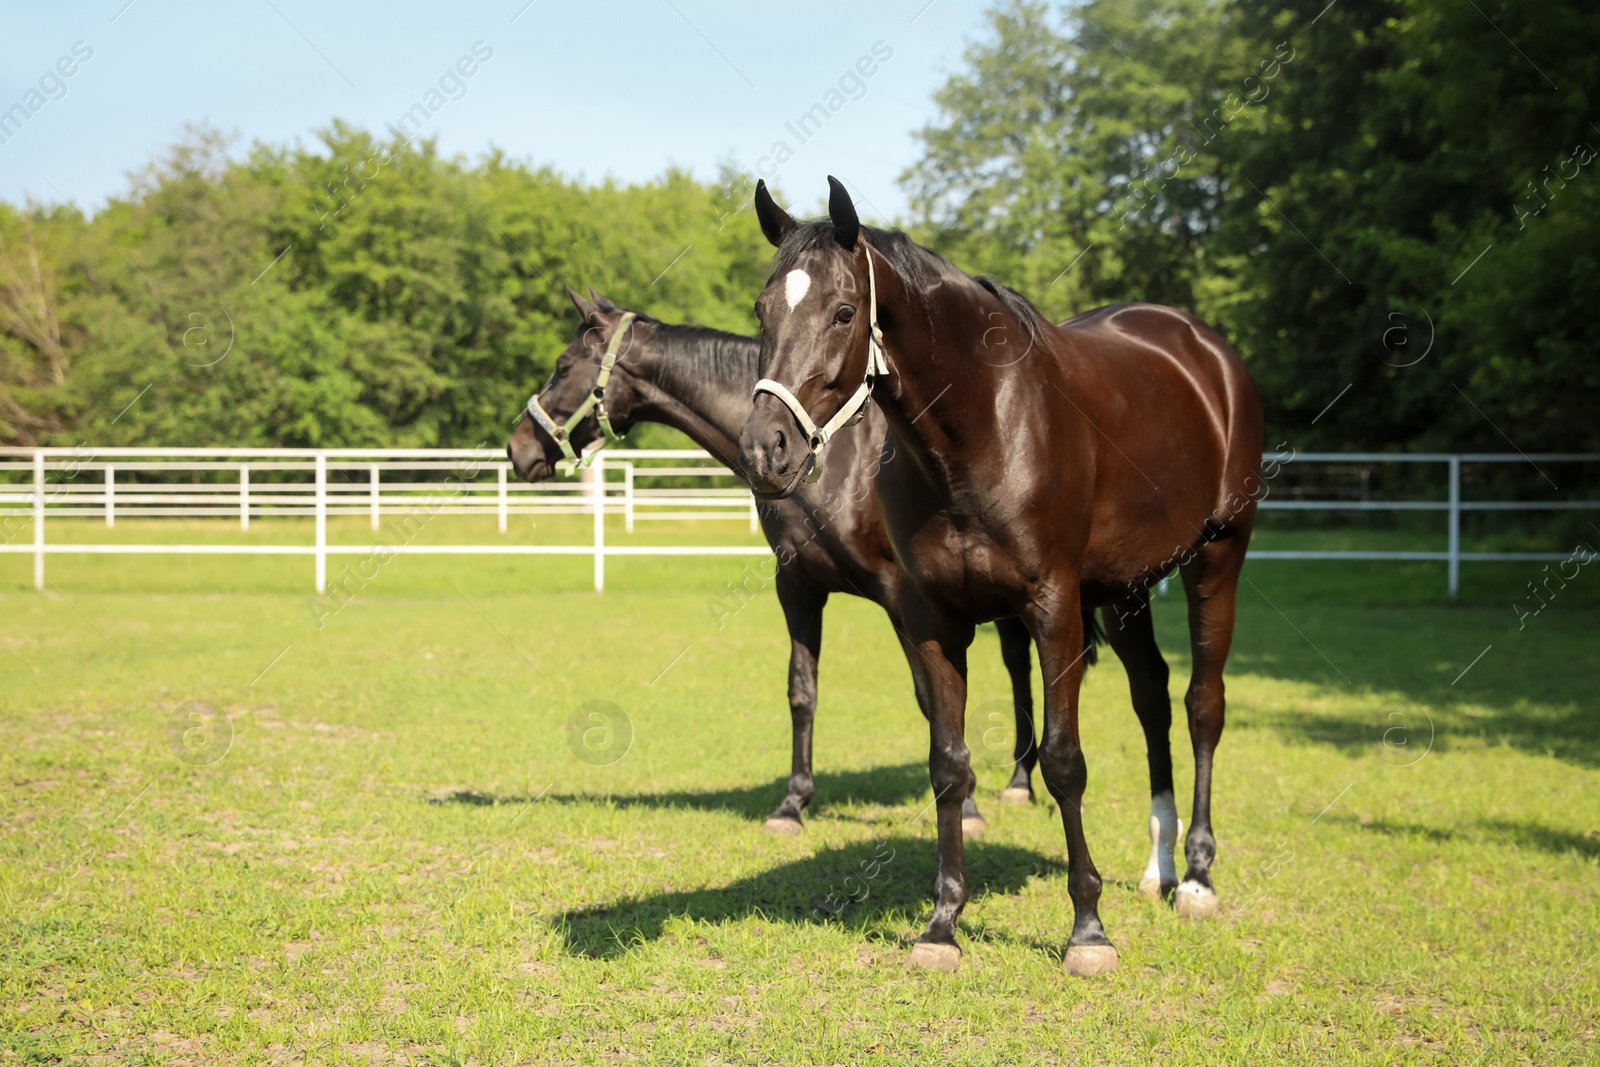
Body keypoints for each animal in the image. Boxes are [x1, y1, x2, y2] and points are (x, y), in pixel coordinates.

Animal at [505, 289, 1043, 831]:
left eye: (563, 366)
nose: (517, 447)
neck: (839, 464)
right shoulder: (798, 587)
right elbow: (802, 691)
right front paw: (793, 804)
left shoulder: (905, 599)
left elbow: (933, 699)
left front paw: (967, 806)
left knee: (1019, 665)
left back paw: (1020, 783)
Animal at [736, 177, 1260, 979]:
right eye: (762, 309)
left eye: (844, 310)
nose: (767, 450)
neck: (981, 427)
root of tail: (1206, 350)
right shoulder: (934, 620)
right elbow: (948, 762)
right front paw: (943, 923)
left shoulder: (1053, 610)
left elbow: (1064, 761)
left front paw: (1088, 930)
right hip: (1127, 591)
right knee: (1153, 700)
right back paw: (1160, 865)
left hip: (1218, 558)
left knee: (1203, 704)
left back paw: (1197, 876)